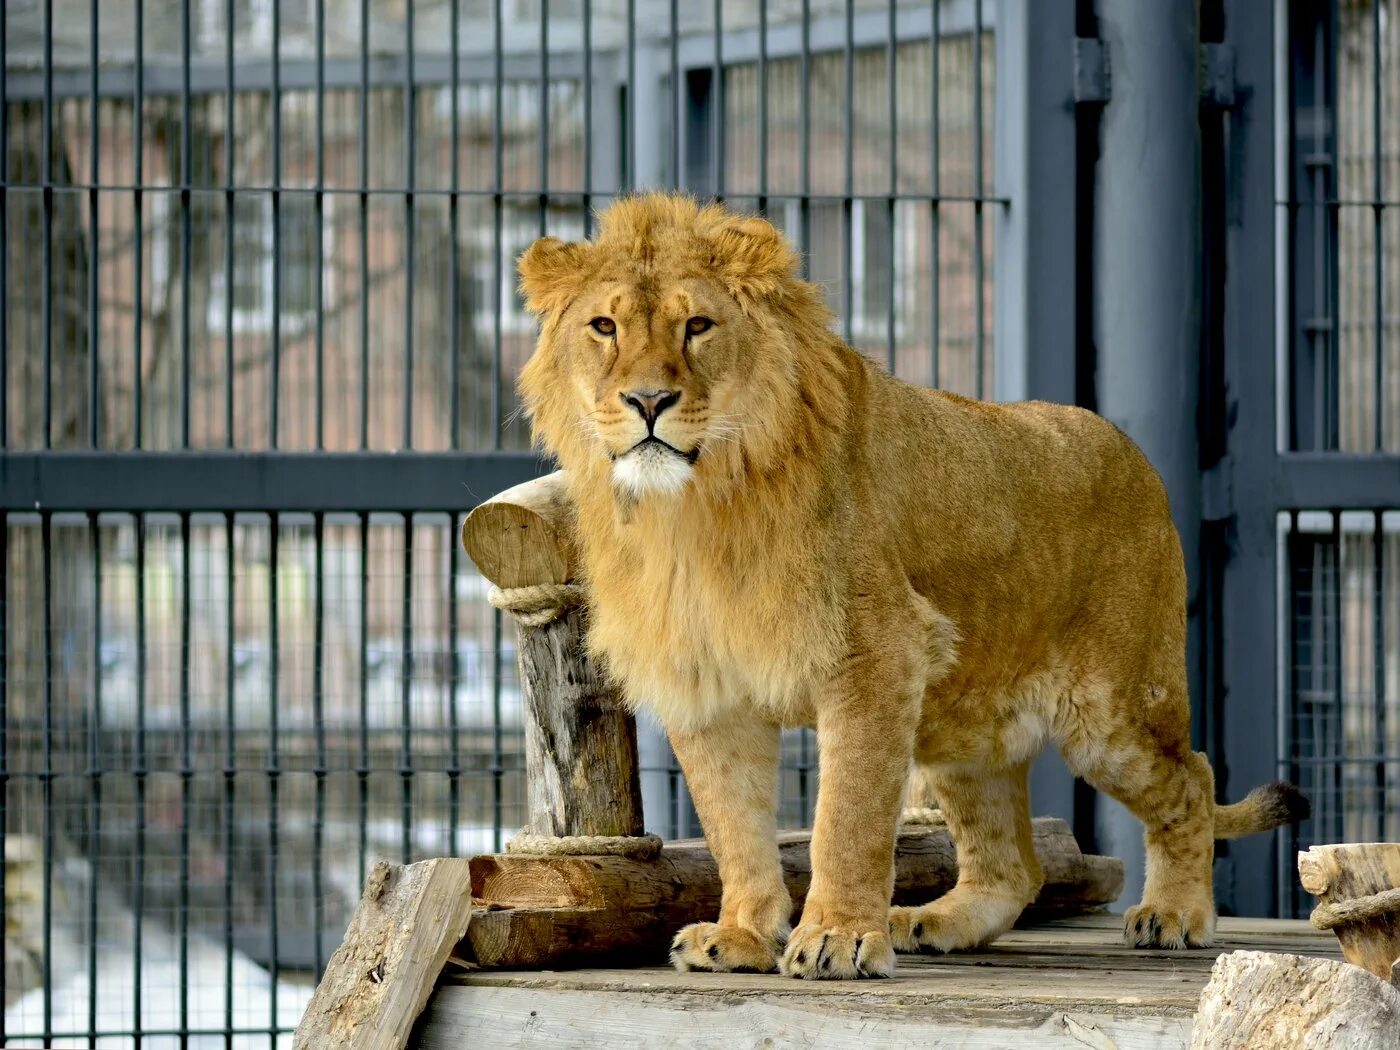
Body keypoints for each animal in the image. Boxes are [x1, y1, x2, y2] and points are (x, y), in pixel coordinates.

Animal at [518, 193, 1310, 985]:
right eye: (604, 327)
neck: (698, 503)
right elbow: (732, 824)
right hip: (966, 727)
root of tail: (1132, 452)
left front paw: (835, 938)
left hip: (1113, 713)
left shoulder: (876, 655)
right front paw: (741, 934)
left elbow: (847, 816)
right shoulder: (705, 677)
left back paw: (1174, 913)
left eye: (698, 326)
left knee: (1193, 781)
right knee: (1012, 865)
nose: (649, 399)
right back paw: (935, 921)